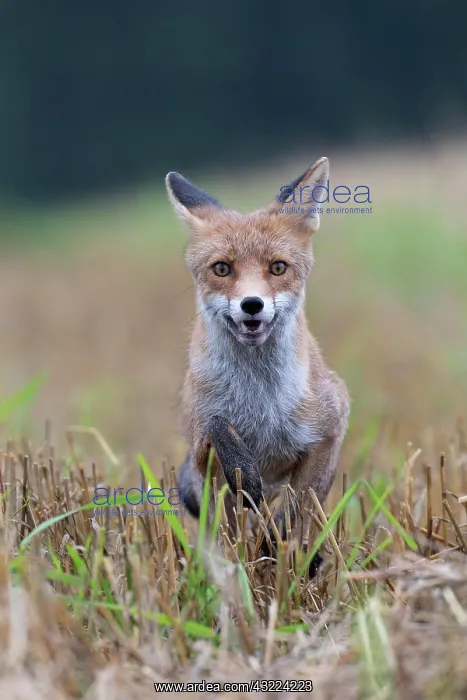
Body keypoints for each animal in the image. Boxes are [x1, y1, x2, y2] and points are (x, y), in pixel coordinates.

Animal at [166, 157, 350, 570]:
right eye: (222, 268)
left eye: (278, 268)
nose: (252, 304)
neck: (261, 400)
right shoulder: (201, 450)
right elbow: (218, 424)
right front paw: (246, 474)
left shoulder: (330, 431)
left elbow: (297, 508)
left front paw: (278, 543)